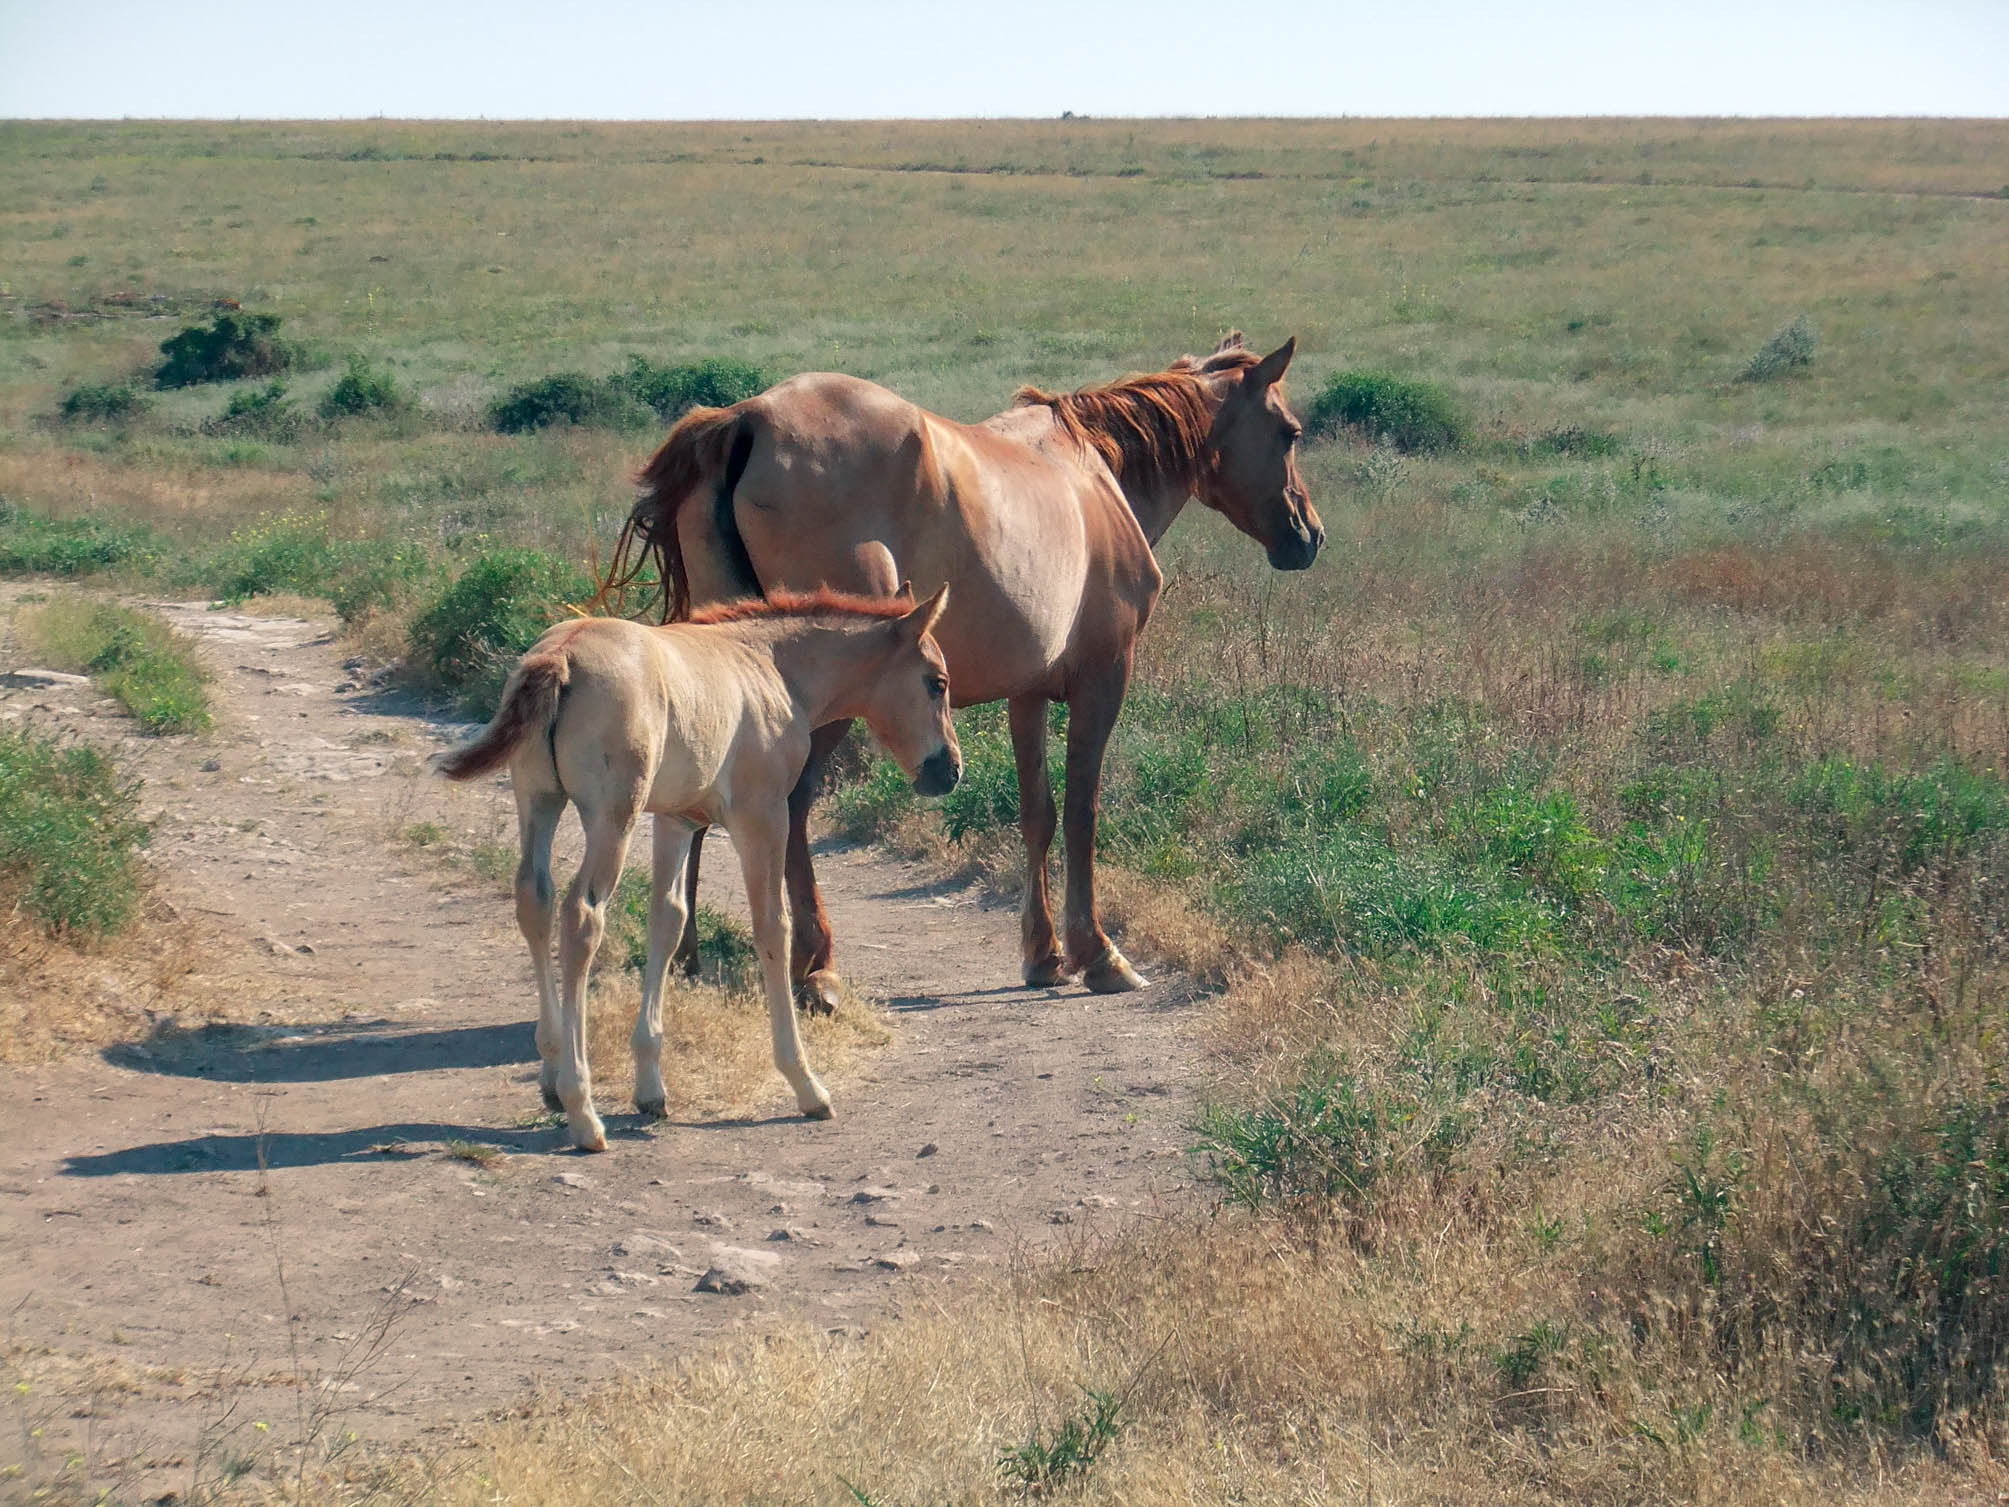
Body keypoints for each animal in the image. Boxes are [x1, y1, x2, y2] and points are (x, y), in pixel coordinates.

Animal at [443, 590, 960, 1157]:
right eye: (937, 682)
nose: (950, 770)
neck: (770, 666)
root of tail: (562, 654)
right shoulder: (762, 815)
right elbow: (772, 927)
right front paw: (805, 1083)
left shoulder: (676, 819)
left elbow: (668, 921)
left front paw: (650, 1087)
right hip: (612, 816)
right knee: (581, 917)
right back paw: (582, 1110)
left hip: (538, 800)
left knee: (534, 901)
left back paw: (553, 1074)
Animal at [594, 335, 1317, 1008]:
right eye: (1289, 432)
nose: (1308, 535)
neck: (1091, 471)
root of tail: (749, 419)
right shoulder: (1102, 679)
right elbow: (1081, 811)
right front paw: (1097, 953)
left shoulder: (1027, 693)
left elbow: (1038, 811)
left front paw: (1043, 953)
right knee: (792, 805)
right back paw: (815, 964)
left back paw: (685, 955)